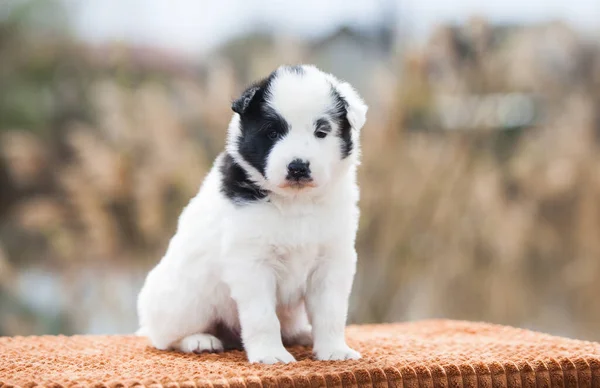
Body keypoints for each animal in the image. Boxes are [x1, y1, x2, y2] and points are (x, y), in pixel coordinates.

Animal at [137, 64, 368, 364]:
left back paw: (303, 334)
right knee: (164, 336)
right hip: (184, 301)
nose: (297, 167)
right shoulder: (251, 262)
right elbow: (262, 316)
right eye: (272, 132)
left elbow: (331, 311)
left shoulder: (332, 258)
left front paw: (334, 350)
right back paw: (199, 340)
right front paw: (271, 355)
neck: (295, 201)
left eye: (321, 131)